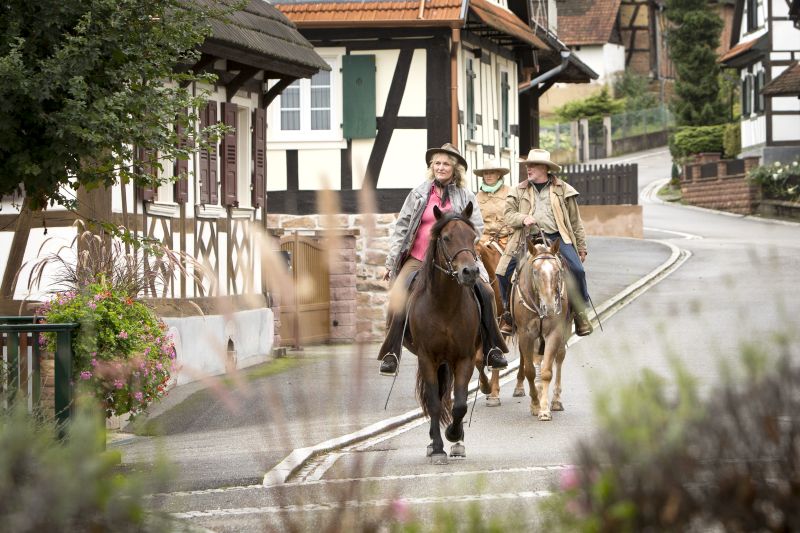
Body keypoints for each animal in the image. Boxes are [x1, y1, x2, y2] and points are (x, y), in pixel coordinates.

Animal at [406, 203, 482, 462]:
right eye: (447, 238)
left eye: (473, 236)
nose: (470, 272)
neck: (444, 305)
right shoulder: (427, 358)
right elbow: (434, 402)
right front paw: (438, 447)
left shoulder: (465, 358)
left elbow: (459, 403)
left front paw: (453, 434)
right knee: (436, 398)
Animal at [512, 238, 568, 420]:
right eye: (535, 272)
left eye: (557, 271)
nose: (550, 307)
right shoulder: (526, 334)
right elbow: (530, 371)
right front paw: (535, 404)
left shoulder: (554, 333)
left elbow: (546, 372)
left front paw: (544, 409)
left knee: (559, 358)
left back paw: (556, 401)